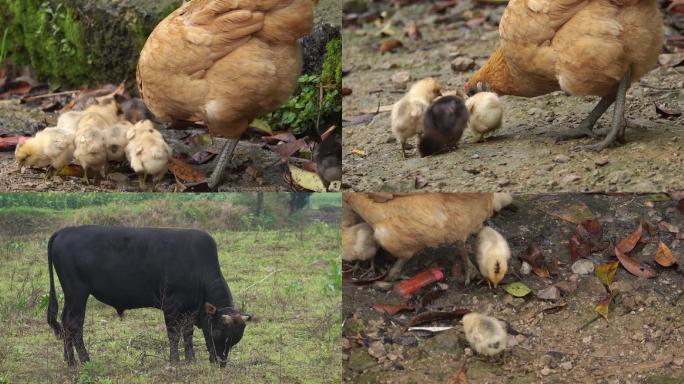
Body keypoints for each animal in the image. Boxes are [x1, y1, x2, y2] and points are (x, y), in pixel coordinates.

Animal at [48, 225, 251, 366]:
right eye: (217, 332)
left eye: (235, 340)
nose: (220, 362)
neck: (198, 266)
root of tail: (66, 230)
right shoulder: (171, 305)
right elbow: (174, 334)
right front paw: (175, 361)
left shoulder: (190, 310)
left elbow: (187, 333)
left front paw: (190, 359)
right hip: (77, 294)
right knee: (74, 325)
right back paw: (82, 360)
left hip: (70, 297)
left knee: (66, 323)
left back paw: (69, 360)